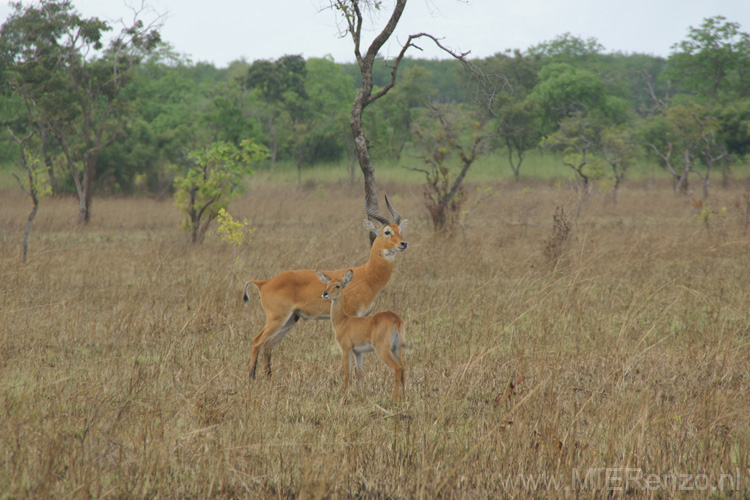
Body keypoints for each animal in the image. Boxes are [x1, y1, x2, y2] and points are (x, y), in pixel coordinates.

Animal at [242, 195, 408, 378]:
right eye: (387, 231)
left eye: (399, 229)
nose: (403, 243)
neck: (366, 275)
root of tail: (264, 283)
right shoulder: (352, 316)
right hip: (276, 318)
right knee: (257, 341)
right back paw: (251, 378)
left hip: (290, 319)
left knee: (268, 344)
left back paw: (268, 377)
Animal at [318, 270, 408, 402]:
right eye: (327, 284)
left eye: (337, 285)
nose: (325, 294)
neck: (342, 320)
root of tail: (396, 318)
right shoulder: (358, 352)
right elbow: (359, 373)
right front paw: (363, 396)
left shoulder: (346, 349)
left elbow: (347, 373)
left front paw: (345, 398)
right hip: (397, 349)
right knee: (403, 369)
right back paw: (404, 399)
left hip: (382, 349)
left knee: (397, 368)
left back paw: (394, 400)